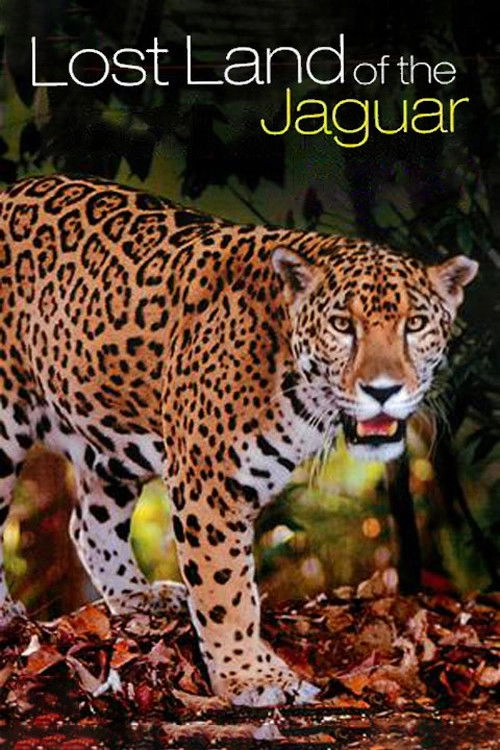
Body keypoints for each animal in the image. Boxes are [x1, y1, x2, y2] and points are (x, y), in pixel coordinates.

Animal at [0, 174, 477, 706]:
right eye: (341, 325)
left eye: (415, 324)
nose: (382, 390)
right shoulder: (208, 486)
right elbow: (225, 593)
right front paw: (251, 677)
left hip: (111, 440)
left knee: (88, 524)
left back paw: (139, 598)